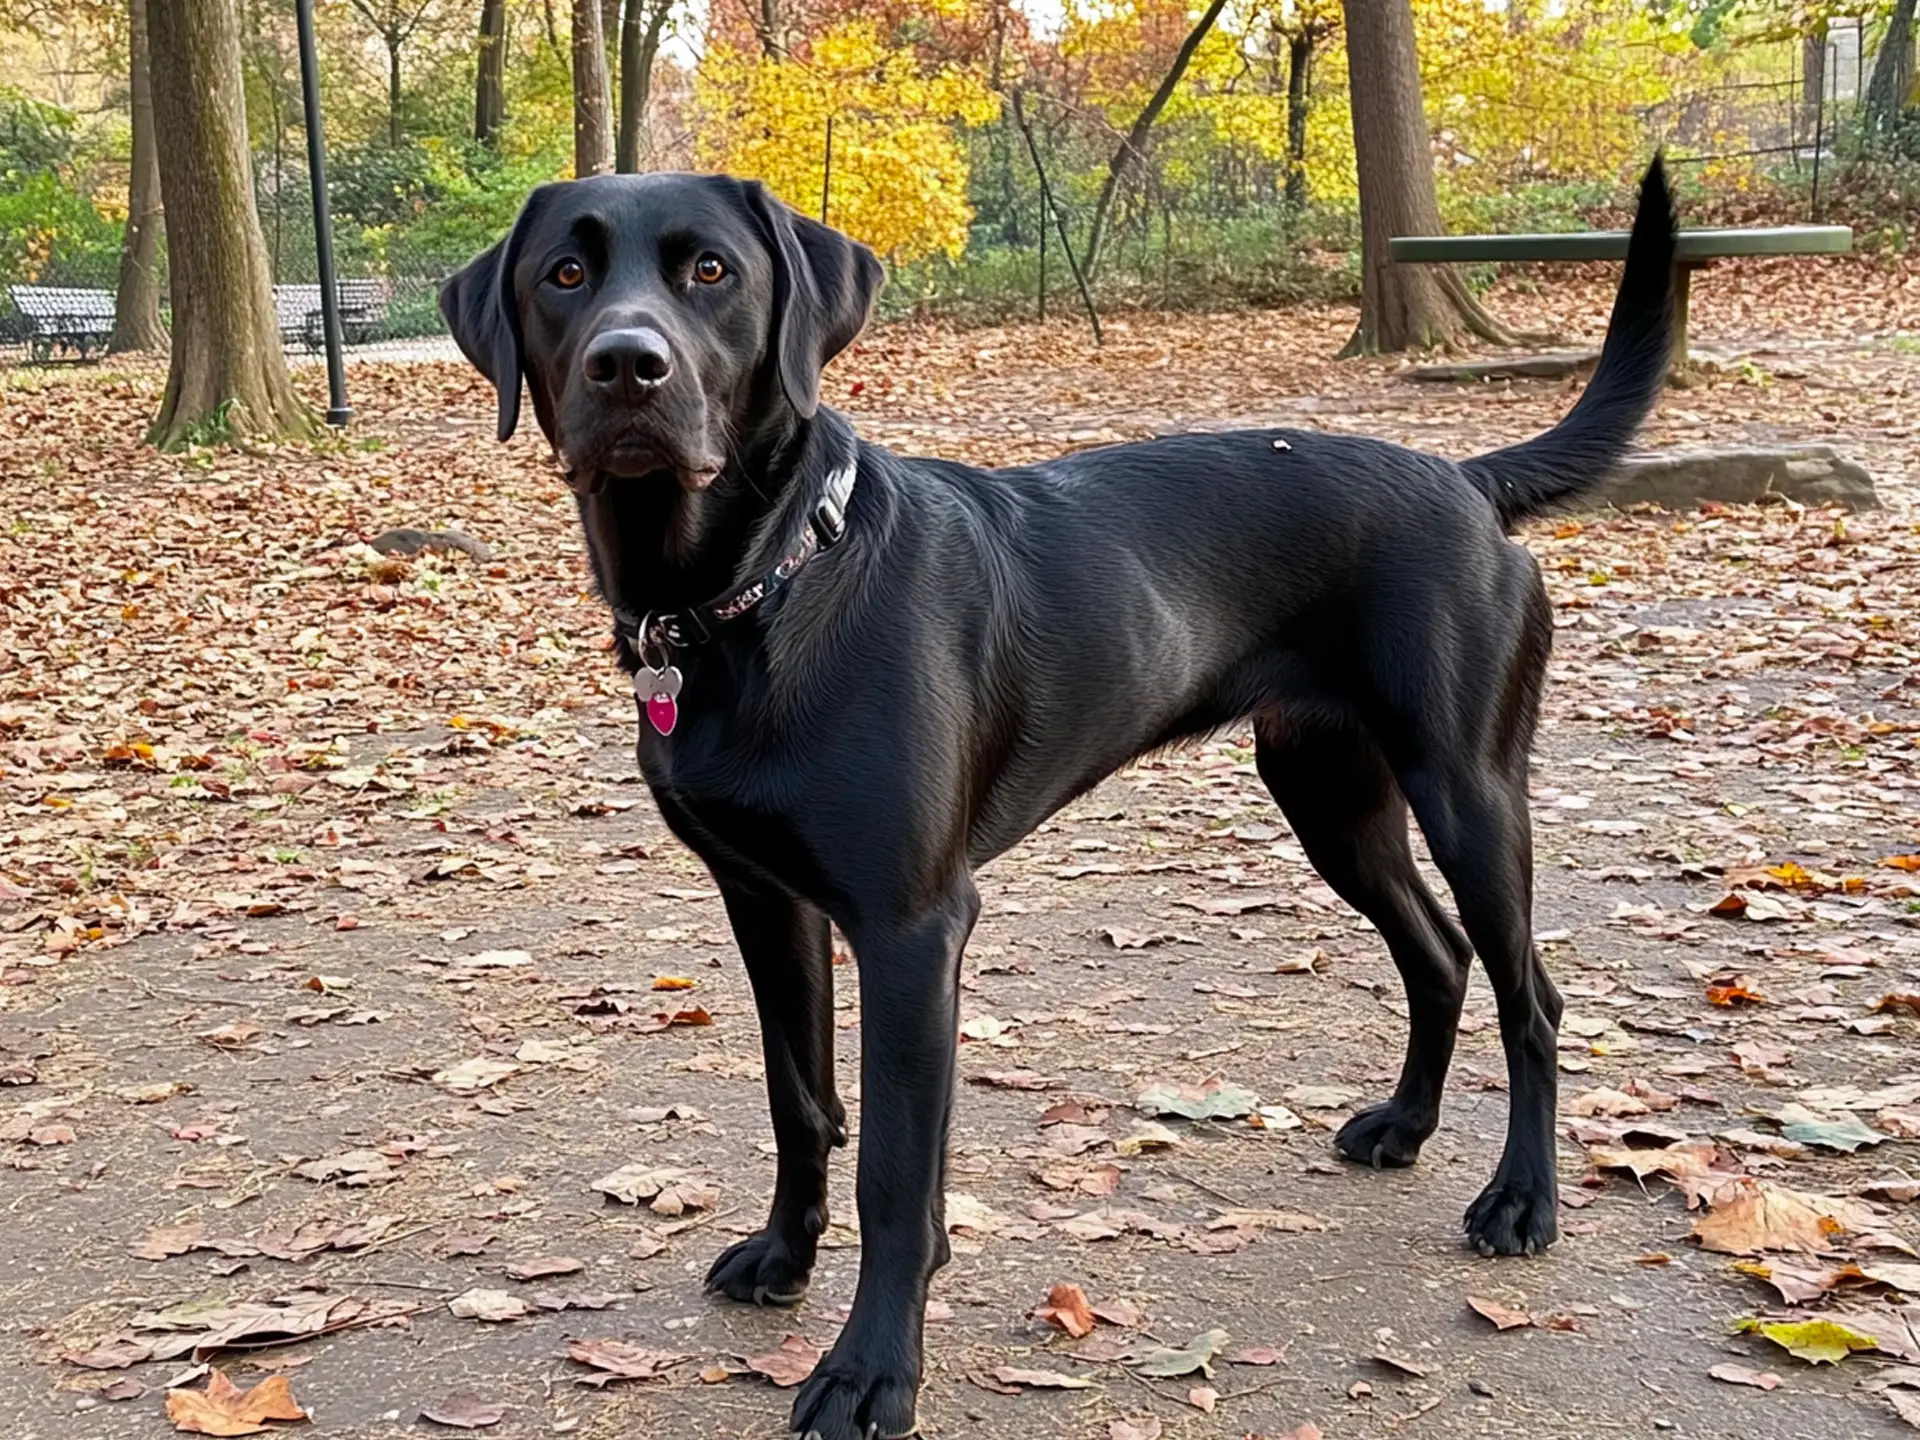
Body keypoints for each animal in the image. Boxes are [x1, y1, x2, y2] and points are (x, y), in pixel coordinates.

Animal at [441, 157, 1674, 1440]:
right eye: (564, 275)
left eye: (712, 271)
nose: (627, 364)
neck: (756, 593)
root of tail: (1466, 481)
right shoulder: (766, 903)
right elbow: (799, 1100)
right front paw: (785, 1256)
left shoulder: (912, 929)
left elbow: (896, 1172)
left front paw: (872, 1370)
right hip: (1330, 797)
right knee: (1438, 954)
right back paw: (1405, 1127)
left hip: (1468, 793)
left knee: (1532, 996)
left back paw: (1522, 1200)